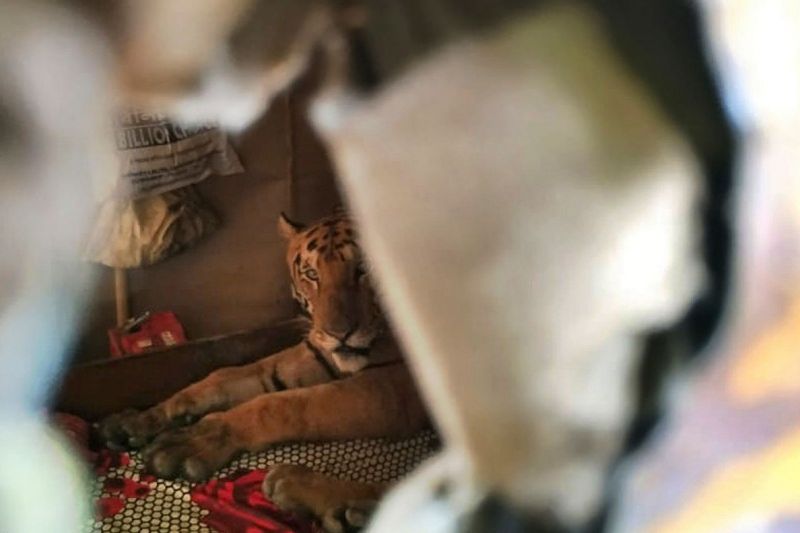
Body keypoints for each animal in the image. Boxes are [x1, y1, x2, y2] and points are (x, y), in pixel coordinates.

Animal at [98, 212, 430, 529]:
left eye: (365, 268)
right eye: (312, 274)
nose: (338, 334)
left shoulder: (393, 388)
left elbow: (280, 405)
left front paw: (191, 441)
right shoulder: (315, 354)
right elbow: (226, 376)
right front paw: (141, 421)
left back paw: (309, 491)